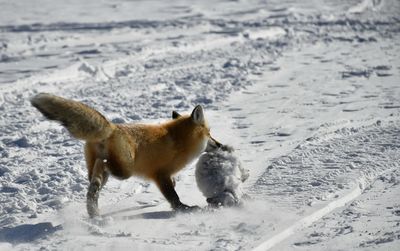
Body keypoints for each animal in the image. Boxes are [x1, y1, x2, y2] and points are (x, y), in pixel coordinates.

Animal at [31, 93, 222, 217]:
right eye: (209, 134)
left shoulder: (166, 176)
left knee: (93, 188)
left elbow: (173, 188)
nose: (220, 145)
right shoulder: (160, 174)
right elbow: (173, 197)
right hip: (124, 171)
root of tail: (112, 127)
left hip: (103, 172)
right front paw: (183, 209)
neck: (178, 141)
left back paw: (94, 213)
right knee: (103, 167)